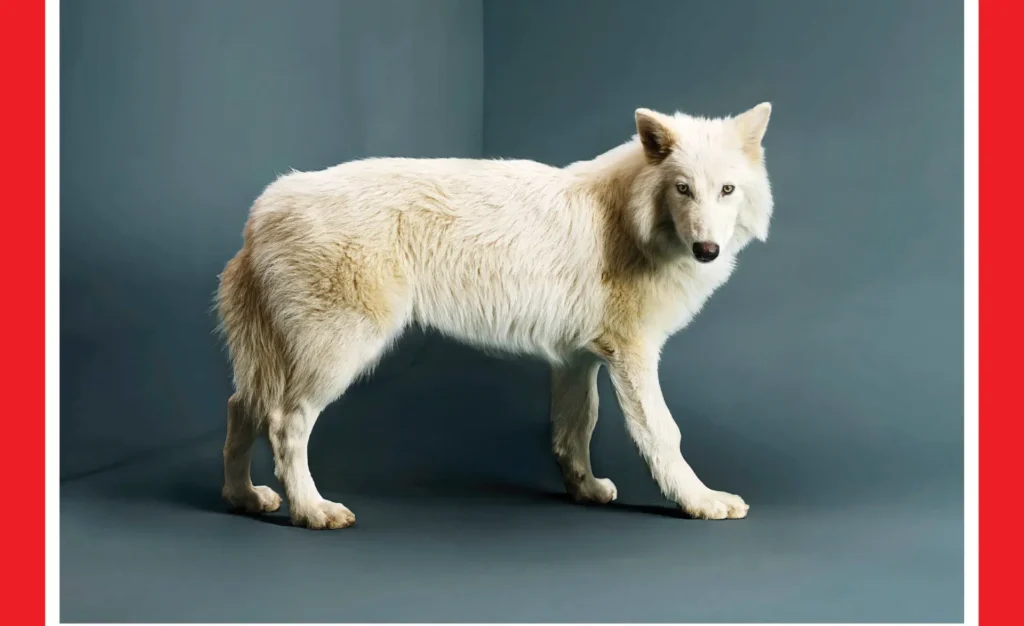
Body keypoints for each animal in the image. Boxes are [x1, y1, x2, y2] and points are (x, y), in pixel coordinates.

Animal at [216, 103, 774, 529]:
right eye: (683, 188)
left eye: (726, 190)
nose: (707, 250)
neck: (629, 221)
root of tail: (263, 208)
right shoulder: (632, 356)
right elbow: (664, 433)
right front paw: (701, 502)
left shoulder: (577, 361)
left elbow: (576, 430)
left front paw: (586, 490)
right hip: (338, 355)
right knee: (284, 423)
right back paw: (312, 511)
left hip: (278, 359)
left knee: (240, 407)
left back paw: (244, 498)